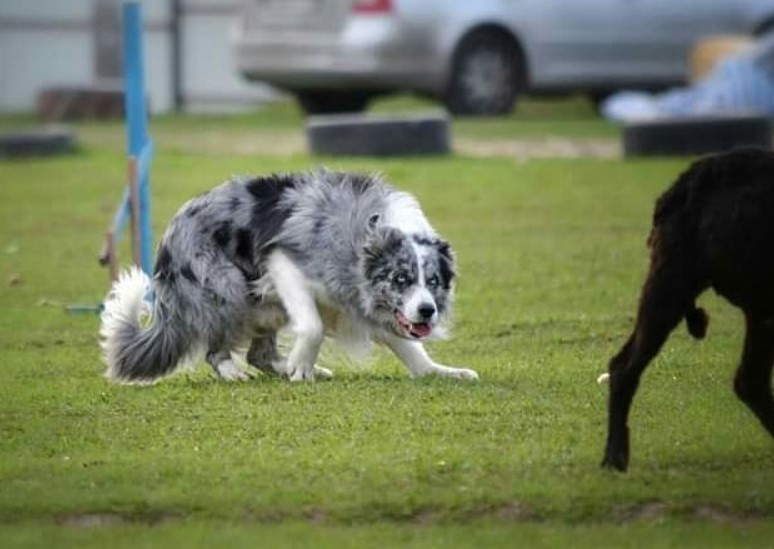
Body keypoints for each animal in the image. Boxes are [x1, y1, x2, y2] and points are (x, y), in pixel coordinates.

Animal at [604, 148, 774, 468]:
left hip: (754, 308)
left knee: (750, 381)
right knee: (624, 368)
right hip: (671, 283)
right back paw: (613, 457)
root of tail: (673, 193)